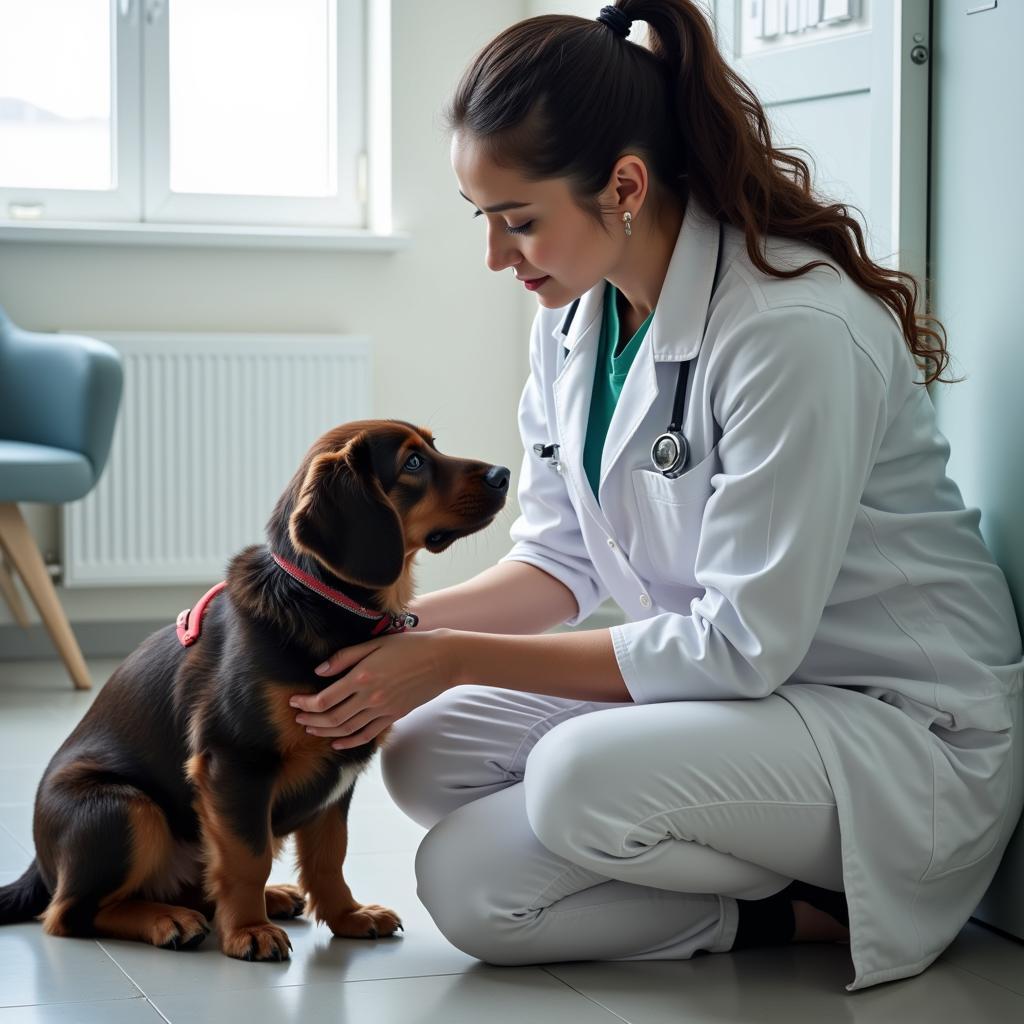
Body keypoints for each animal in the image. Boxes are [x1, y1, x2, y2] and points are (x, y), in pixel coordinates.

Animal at [0, 417, 509, 958]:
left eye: (433, 446)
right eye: (412, 462)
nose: (504, 474)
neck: (326, 604)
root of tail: (39, 865)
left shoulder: (338, 766)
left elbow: (329, 854)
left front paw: (347, 915)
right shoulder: (236, 761)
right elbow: (247, 856)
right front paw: (248, 930)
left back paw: (270, 898)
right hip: (123, 809)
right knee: (70, 913)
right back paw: (168, 920)